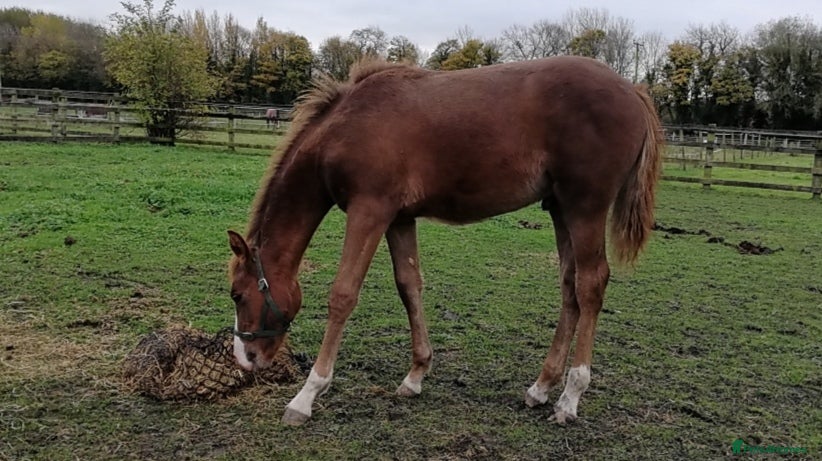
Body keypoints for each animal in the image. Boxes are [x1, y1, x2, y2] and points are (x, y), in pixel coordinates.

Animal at [227, 56, 663, 426]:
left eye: (236, 294)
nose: (245, 358)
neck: (347, 126)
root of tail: (633, 90)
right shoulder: (399, 218)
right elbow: (409, 287)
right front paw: (415, 375)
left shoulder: (369, 210)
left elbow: (343, 295)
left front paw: (306, 396)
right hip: (560, 209)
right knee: (570, 287)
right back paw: (541, 388)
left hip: (585, 208)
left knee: (591, 285)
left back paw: (570, 399)